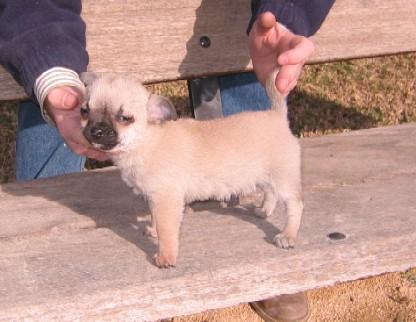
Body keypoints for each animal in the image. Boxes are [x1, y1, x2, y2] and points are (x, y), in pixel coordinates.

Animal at [80, 71, 302, 270]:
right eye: (84, 111)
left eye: (125, 118)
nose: (96, 130)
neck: (147, 140)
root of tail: (276, 115)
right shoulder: (154, 198)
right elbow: (154, 217)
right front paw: (153, 231)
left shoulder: (166, 200)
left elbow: (167, 231)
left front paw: (165, 257)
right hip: (267, 175)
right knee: (271, 192)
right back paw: (264, 210)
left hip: (283, 178)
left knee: (295, 205)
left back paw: (288, 235)